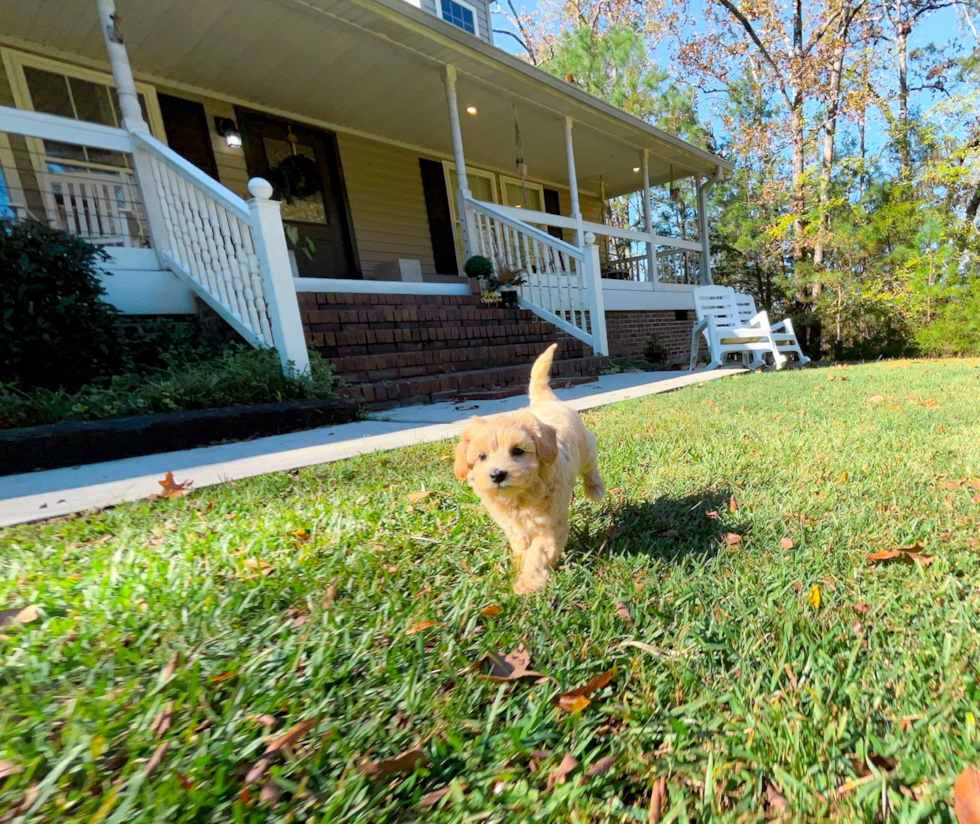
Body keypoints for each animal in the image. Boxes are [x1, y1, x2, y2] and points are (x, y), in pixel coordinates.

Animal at [454, 344, 604, 596]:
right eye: (482, 456)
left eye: (517, 451)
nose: (497, 474)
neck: (519, 497)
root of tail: (545, 401)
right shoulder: (515, 529)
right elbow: (523, 548)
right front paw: (519, 567)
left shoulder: (549, 526)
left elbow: (538, 553)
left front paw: (528, 582)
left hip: (585, 447)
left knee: (590, 466)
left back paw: (595, 489)